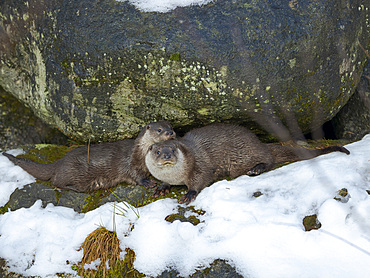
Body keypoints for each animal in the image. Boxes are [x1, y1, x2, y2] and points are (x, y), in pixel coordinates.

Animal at [2, 120, 176, 192]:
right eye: (159, 130)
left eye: (171, 126)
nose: (170, 132)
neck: (142, 154)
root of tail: (60, 162)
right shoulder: (129, 161)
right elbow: (133, 174)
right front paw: (146, 182)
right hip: (73, 172)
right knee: (56, 182)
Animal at [145, 124, 350, 204]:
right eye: (157, 151)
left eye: (173, 149)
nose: (166, 155)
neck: (176, 177)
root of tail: (259, 142)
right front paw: (161, 188)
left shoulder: (200, 164)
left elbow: (201, 178)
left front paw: (189, 194)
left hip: (244, 155)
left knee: (269, 159)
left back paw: (256, 169)